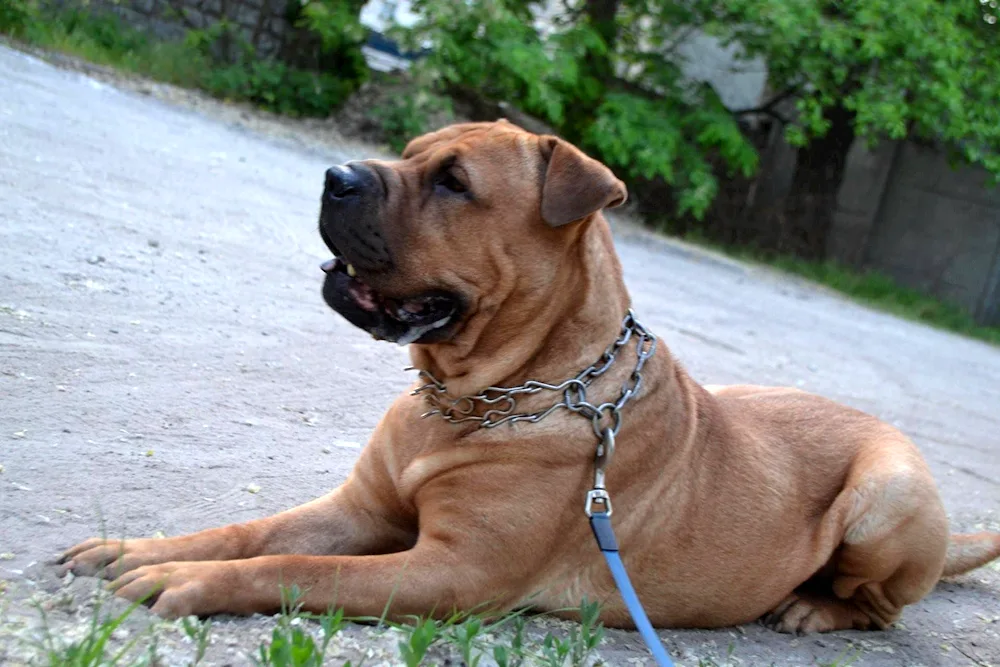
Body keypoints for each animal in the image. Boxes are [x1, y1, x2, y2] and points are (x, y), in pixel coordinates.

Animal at [62, 121, 1000, 636]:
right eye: (411, 153)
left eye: (453, 182)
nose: (335, 175)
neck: (470, 397)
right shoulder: (357, 510)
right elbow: (249, 530)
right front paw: (138, 548)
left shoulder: (450, 571)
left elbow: (292, 566)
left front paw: (189, 583)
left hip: (886, 494)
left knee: (884, 605)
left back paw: (815, 607)